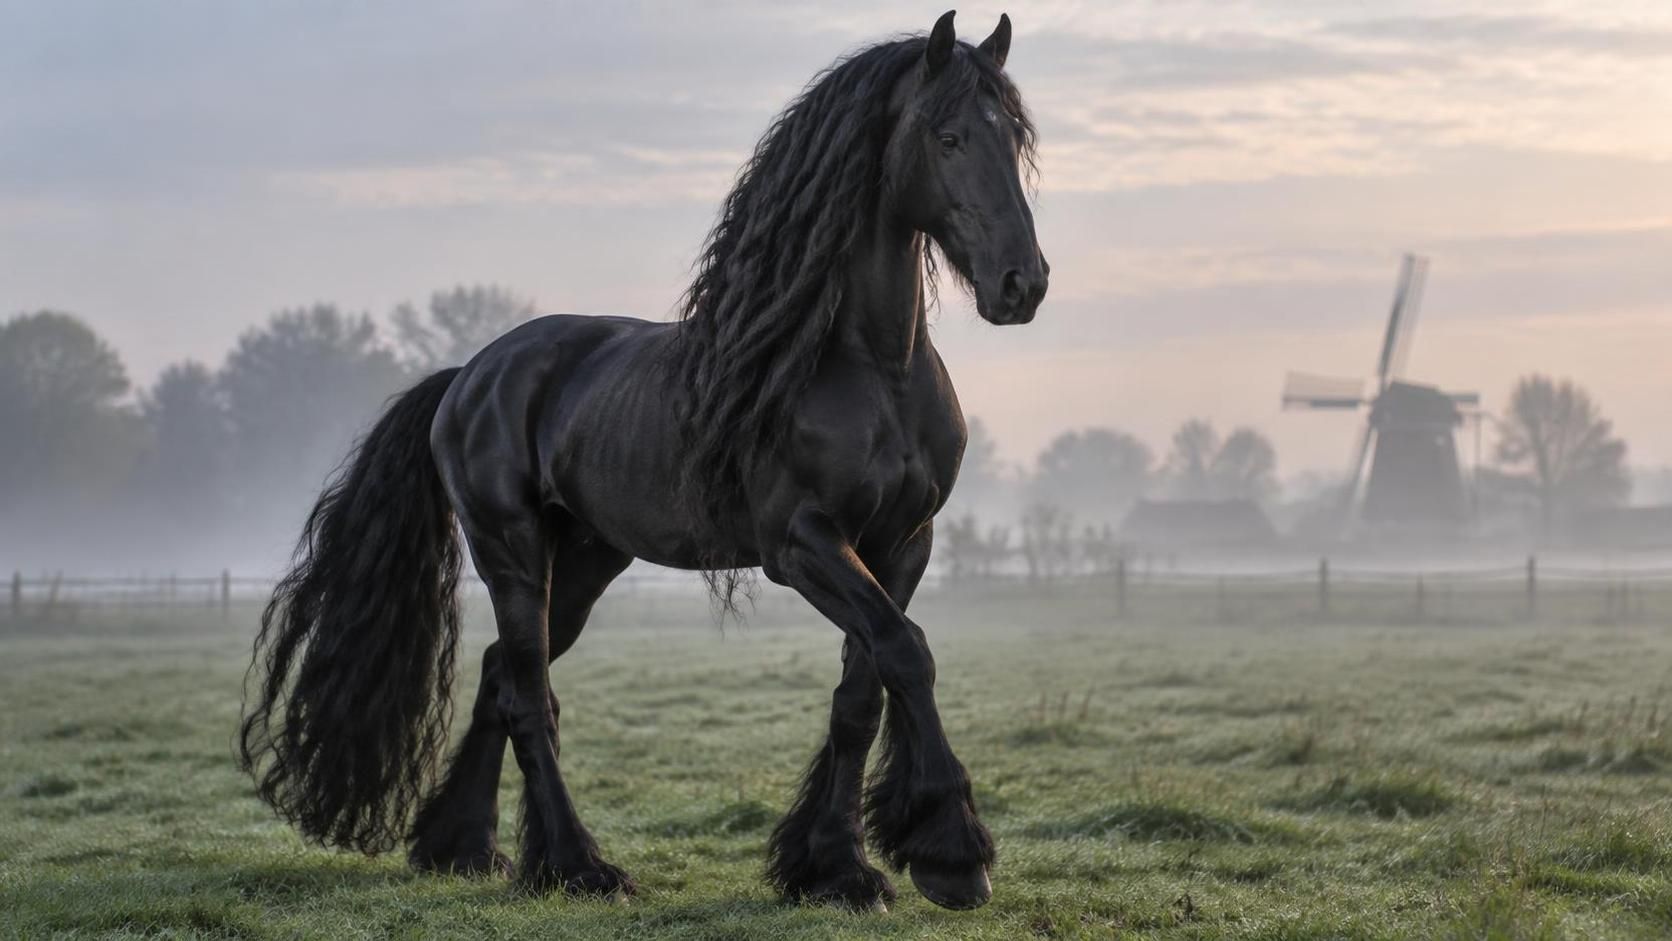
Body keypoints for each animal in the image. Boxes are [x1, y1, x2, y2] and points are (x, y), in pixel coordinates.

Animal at [239, 10, 1046, 913]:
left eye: (1014, 139)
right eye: (947, 136)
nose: (1022, 283)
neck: (872, 365)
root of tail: (469, 374)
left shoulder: (903, 542)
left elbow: (862, 691)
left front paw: (834, 866)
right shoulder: (802, 543)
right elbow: (905, 652)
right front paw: (950, 853)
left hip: (588, 560)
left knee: (498, 677)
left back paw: (465, 847)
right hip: (511, 550)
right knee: (527, 694)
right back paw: (578, 865)